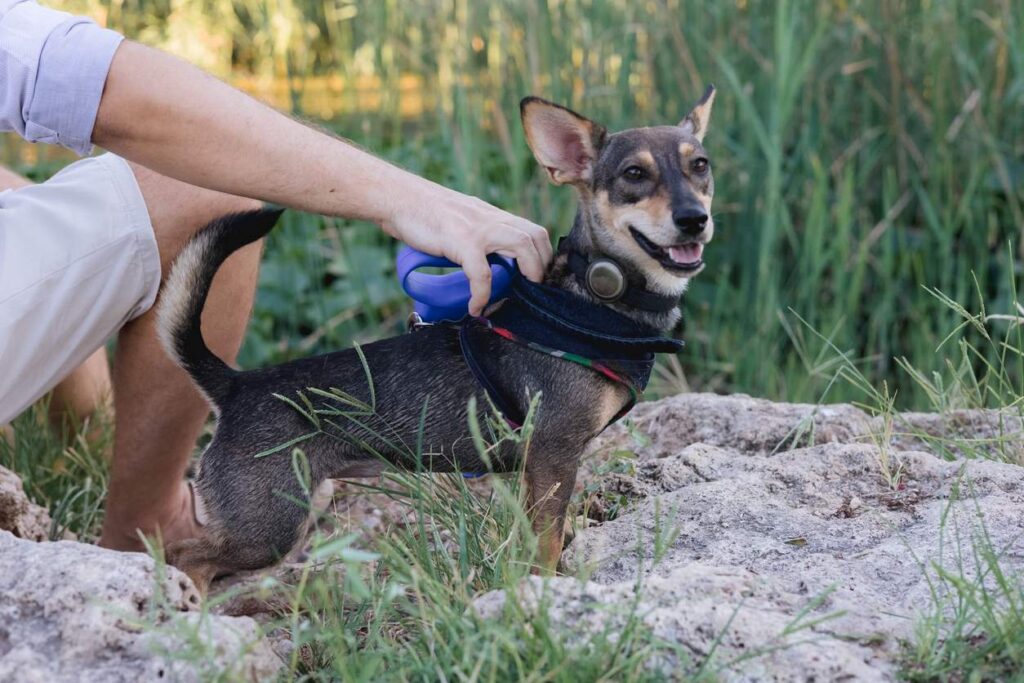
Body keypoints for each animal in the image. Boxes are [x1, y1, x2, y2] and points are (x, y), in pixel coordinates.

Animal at [161, 87, 720, 593]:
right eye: (634, 175)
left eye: (700, 166)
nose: (694, 218)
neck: (593, 299)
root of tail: (236, 385)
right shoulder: (554, 455)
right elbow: (546, 543)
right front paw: (542, 591)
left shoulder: (532, 470)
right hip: (267, 527)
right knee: (185, 556)